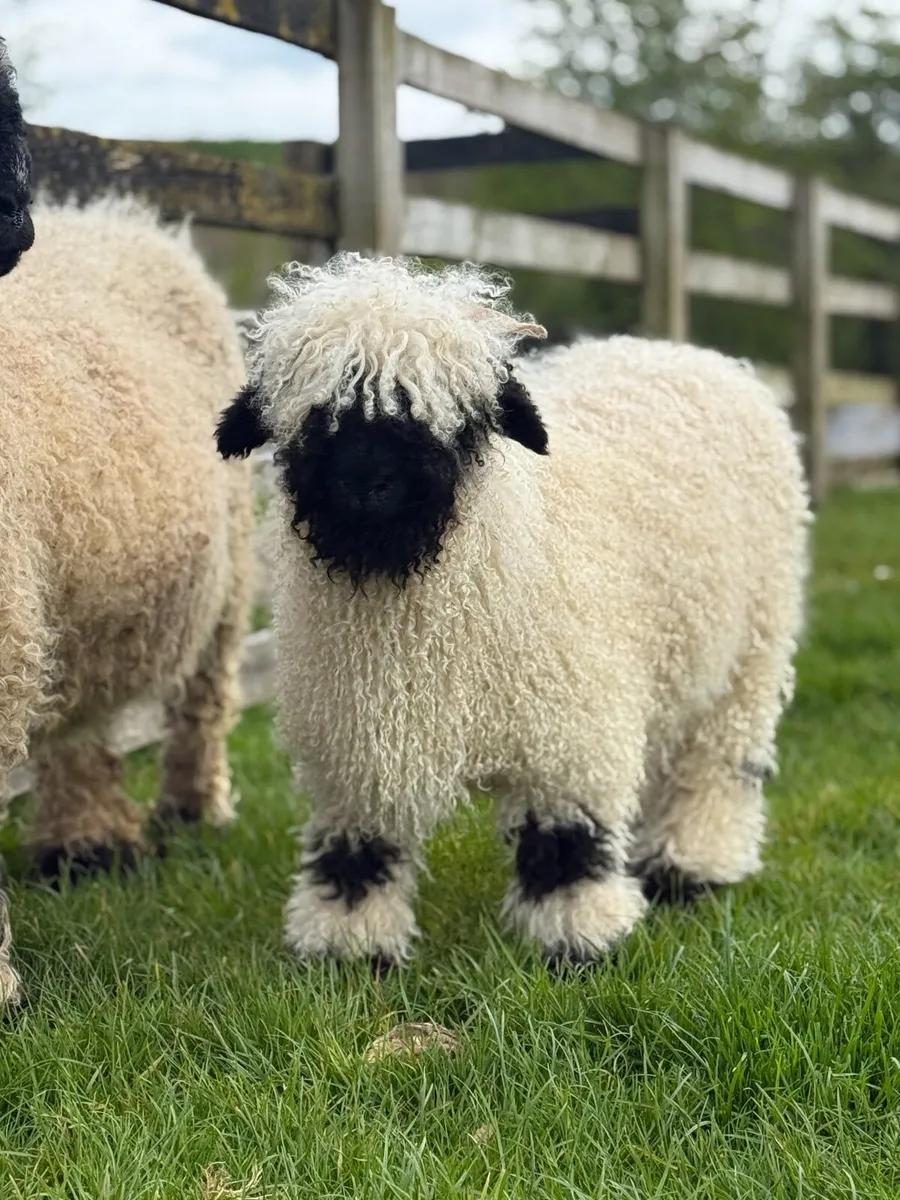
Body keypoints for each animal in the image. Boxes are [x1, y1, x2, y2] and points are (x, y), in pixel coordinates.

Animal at [0, 194, 253, 1004]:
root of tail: (120, 218)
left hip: (231, 561)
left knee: (204, 698)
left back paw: (189, 812)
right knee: (82, 709)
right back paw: (88, 840)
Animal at [216, 252, 810, 967]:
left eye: (458, 420)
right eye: (314, 418)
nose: (366, 485)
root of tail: (686, 353)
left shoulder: (570, 734)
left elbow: (566, 844)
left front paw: (579, 933)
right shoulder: (357, 745)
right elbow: (359, 847)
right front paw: (349, 941)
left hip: (753, 649)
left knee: (719, 763)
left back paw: (692, 864)